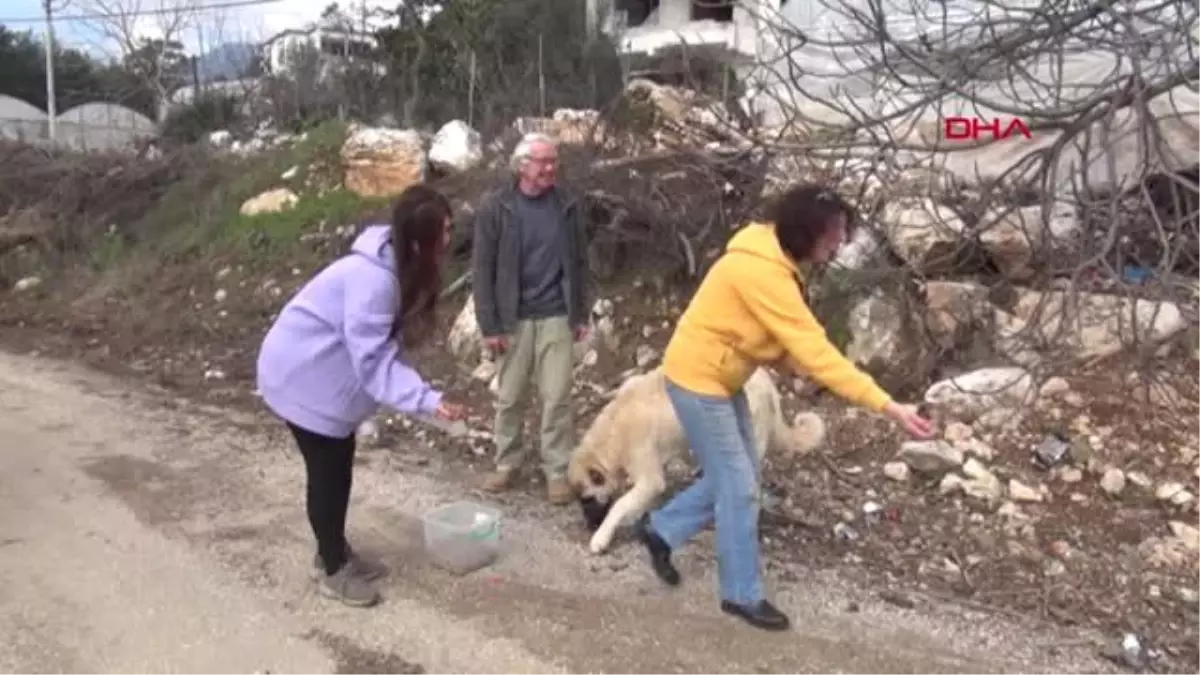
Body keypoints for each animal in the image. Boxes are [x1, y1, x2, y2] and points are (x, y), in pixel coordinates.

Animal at [564, 365, 825, 554]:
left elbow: (620, 504)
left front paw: (602, 536)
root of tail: (769, 384)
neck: (613, 431)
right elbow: (635, 500)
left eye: (587, 499)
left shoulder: (649, 476)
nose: (588, 526)